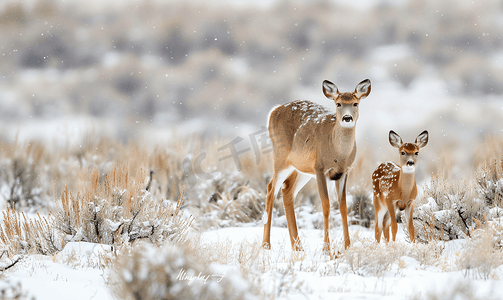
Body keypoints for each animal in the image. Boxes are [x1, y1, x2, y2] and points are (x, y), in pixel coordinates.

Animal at [262, 79, 372, 255]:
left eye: (355, 103)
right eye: (338, 103)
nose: (347, 118)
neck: (338, 154)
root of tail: (274, 110)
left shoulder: (344, 171)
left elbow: (343, 206)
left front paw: (348, 247)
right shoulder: (320, 169)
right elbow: (326, 205)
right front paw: (327, 249)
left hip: (302, 169)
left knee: (287, 190)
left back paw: (297, 247)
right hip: (280, 157)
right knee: (271, 189)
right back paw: (266, 245)